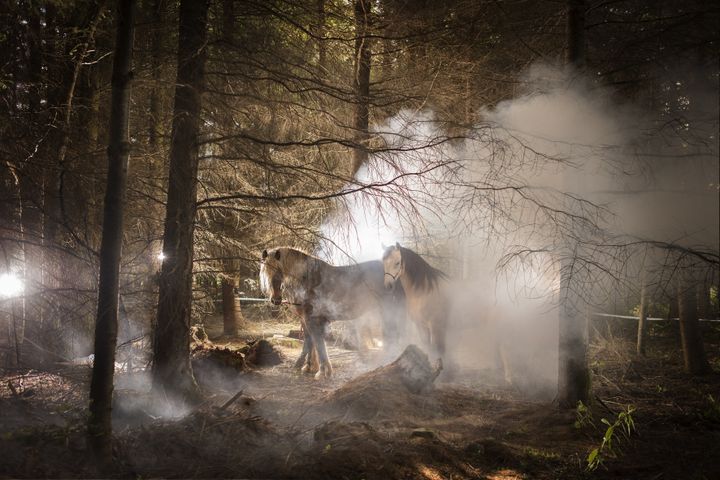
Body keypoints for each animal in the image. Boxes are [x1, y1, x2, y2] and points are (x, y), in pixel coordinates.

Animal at [260, 248, 404, 378]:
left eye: (278, 271)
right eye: (265, 273)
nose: (275, 300)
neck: (307, 280)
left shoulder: (311, 318)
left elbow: (315, 342)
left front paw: (322, 371)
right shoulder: (305, 319)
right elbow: (311, 341)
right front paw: (309, 366)